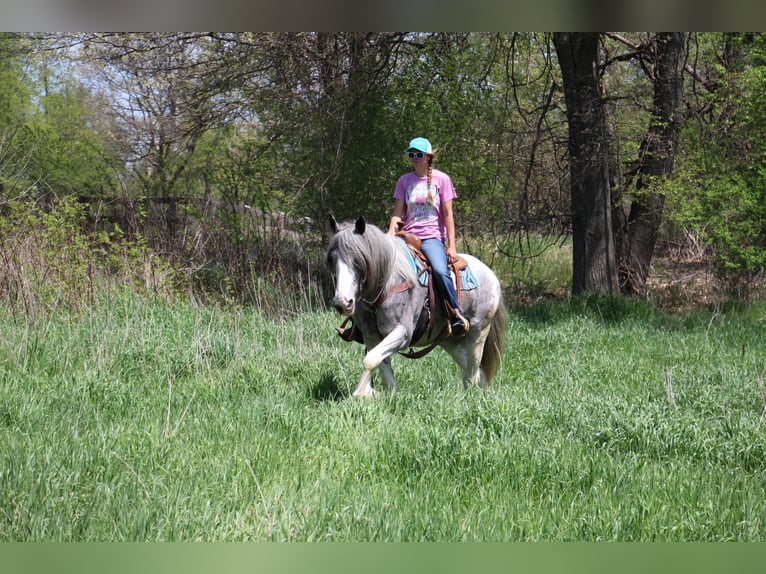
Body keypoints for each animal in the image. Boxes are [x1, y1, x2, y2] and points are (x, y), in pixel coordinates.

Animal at [326, 218, 510, 398]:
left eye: (358, 259)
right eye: (332, 260)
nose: (343, 303)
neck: (387, 283)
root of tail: (492, 276)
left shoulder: (403, 333)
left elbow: (371, 360)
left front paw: (360, 393)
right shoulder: (371, 335)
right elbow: (380, 364)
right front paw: (386, 394)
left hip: (477, 333)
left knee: (472, 372)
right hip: (450, 341)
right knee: (474, 372)